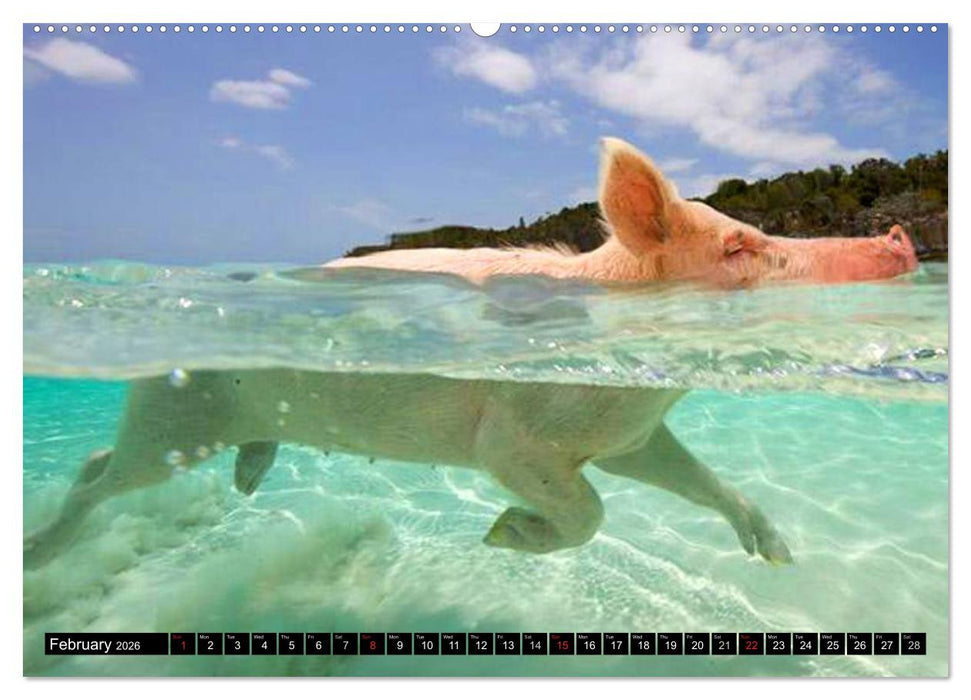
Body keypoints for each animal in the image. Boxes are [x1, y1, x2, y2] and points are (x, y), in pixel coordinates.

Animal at [23, 370, 793, 569]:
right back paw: (38, 555)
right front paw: (504, 535)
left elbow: (687, 474)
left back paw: (248, 476)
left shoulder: (630, 433)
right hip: (180, 414)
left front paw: (775, 552)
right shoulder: (517, 438)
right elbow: (588, 509)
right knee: (104, 472)